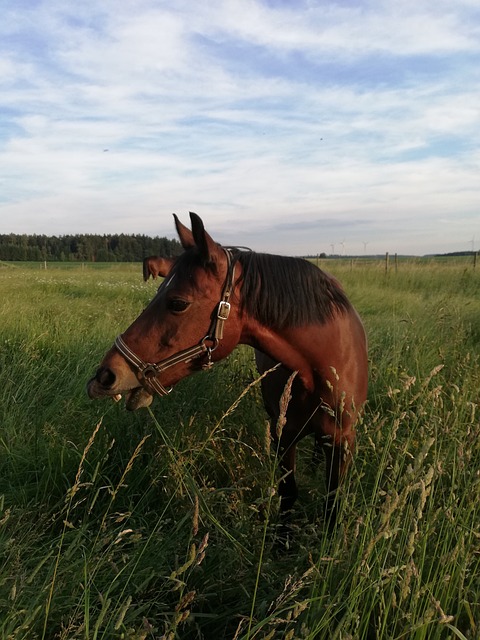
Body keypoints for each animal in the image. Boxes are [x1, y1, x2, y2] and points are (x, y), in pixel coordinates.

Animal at [88, 215, 370, 524]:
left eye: (178, 303)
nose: (105, 376)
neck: (322, 367)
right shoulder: (284, 435)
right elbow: (288, 494)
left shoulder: (343, 441)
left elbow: (332, 506)